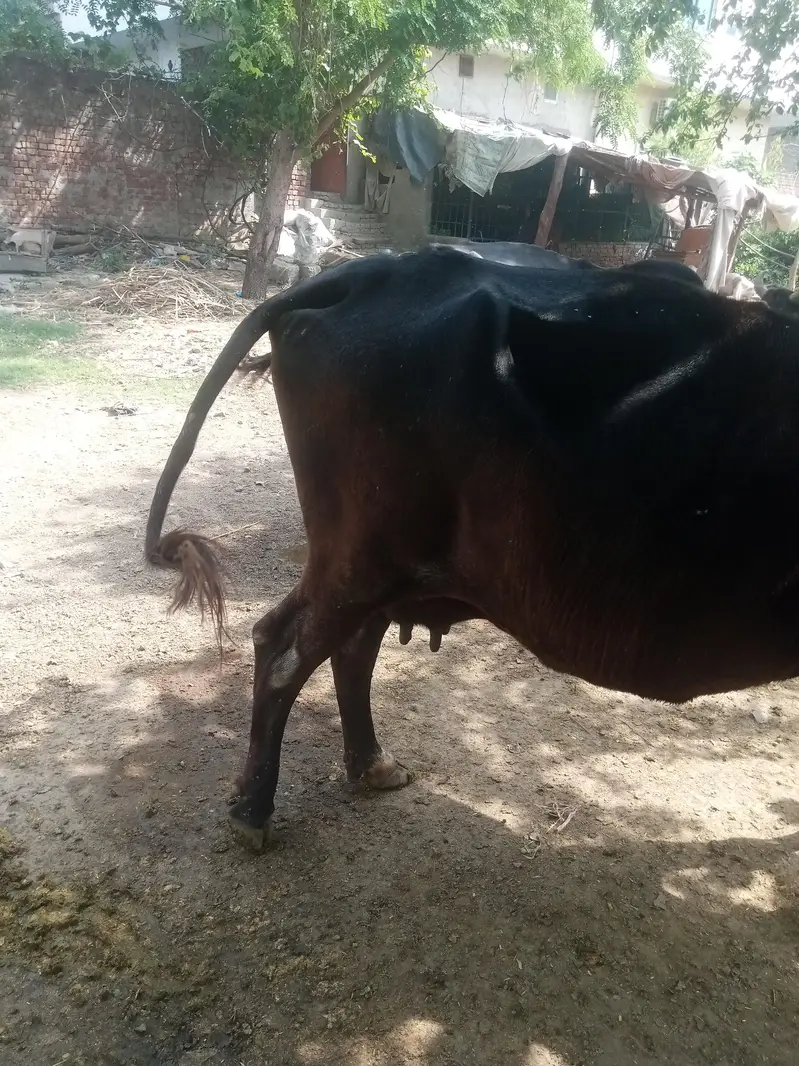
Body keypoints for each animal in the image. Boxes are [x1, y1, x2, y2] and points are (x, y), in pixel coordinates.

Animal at [146, 246, 799, 851]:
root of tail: (380, 268)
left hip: (385, 565)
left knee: (350, 648)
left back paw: (372, 766)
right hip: (360, 555)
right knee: (284, 646)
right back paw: (253, 811)